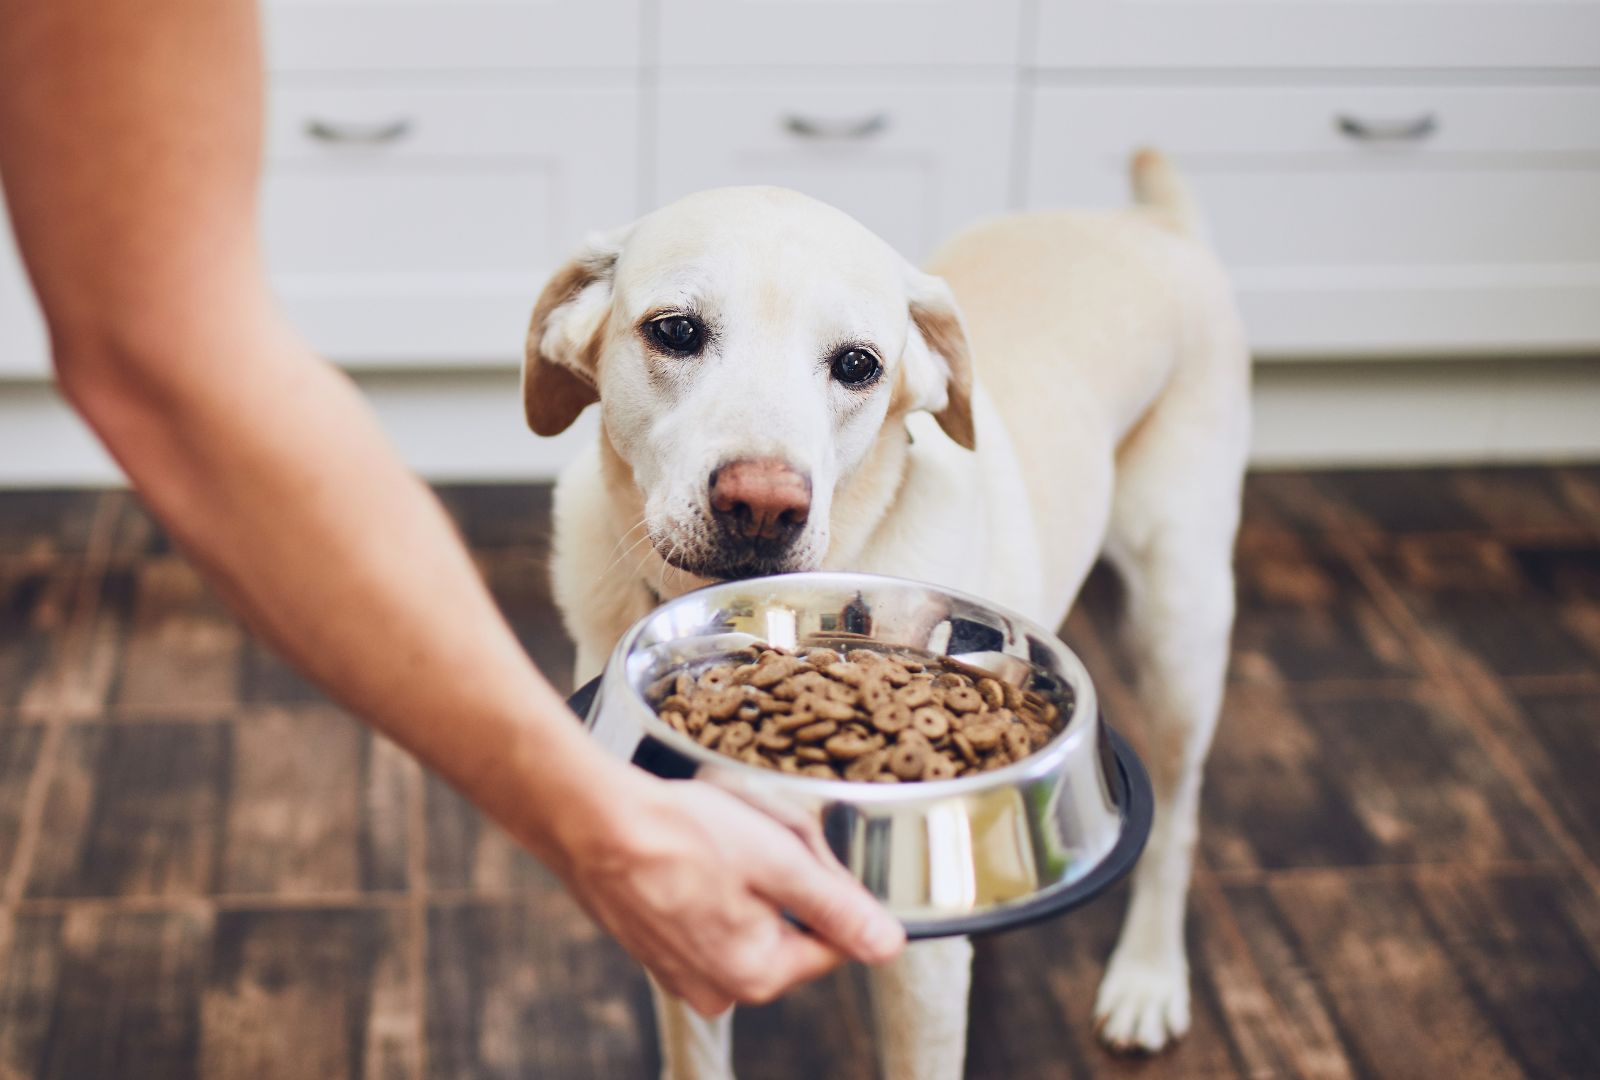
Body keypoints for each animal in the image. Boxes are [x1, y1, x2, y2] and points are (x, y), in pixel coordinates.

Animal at [524, 145, 1248, 1080]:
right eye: (675, 331)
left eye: (858, 364)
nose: (762, 506)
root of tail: (1152, 224)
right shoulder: (686, 914)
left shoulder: (922, 974)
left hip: (1181, 624)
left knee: (1181, 821)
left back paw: (1148, 978)